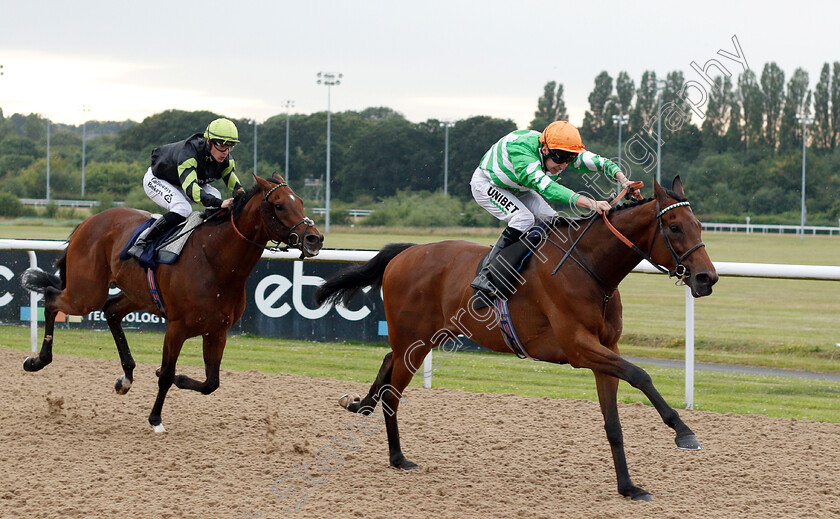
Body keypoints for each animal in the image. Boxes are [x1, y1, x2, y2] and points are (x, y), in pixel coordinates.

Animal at [22, 173, 324, 432]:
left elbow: (211, 383)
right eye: (279, 205)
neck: (214, 260)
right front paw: (155, 419)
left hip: (136, 295)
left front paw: (172, 383)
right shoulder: (177, 328)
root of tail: (88, 221)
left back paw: (126, 378)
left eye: (300, 201)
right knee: (51, 298)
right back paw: (37, 361)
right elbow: (167, 374)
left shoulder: (217, 331)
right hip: (87, 293)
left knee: (111, 311)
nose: (315, 238)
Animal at [316, 177, 716, 502]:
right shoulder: (578, 347)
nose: (707, 278)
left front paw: (628, 487)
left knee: (387, 363)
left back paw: (361, 403)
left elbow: (614, 424)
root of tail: (406, 252)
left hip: (422, 339)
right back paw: (398, 457)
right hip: (414, 340)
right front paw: (683, 432)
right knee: (393, 394)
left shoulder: (605, 350)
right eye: (675, 227)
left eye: (699, 226)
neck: (590, 269)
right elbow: (640, 374)